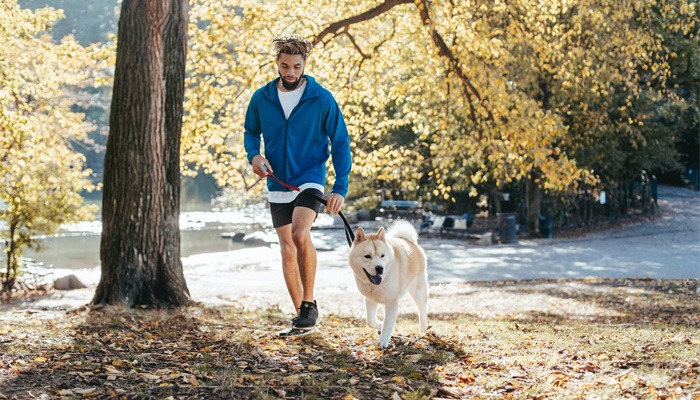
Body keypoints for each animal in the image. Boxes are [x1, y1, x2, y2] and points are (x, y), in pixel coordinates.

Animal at [348, 220, 430, 348]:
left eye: (382, 256)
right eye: (367, 256)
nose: (379, 268)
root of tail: (410, 242)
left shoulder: (392, 302)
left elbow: (387, 324)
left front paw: (383, 341)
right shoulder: (370, 300)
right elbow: (370, 321)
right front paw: (380, 325)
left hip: (418, 291)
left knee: (422, 309)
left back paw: (423, 328)